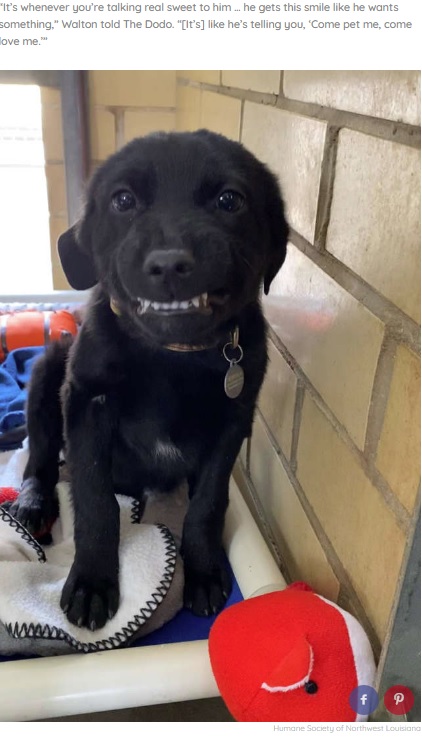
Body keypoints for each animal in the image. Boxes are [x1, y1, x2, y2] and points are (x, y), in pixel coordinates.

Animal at [9, 132, 288, 632]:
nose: (170, 264)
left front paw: (202, 571)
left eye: (229, 200)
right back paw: (33, 502)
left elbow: (207, 503)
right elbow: (95, 500)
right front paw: (92, 582)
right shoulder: (86, 404)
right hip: (47, 372)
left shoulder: (232, 423)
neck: (172, 355)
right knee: (39, 459)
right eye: (123, 200)